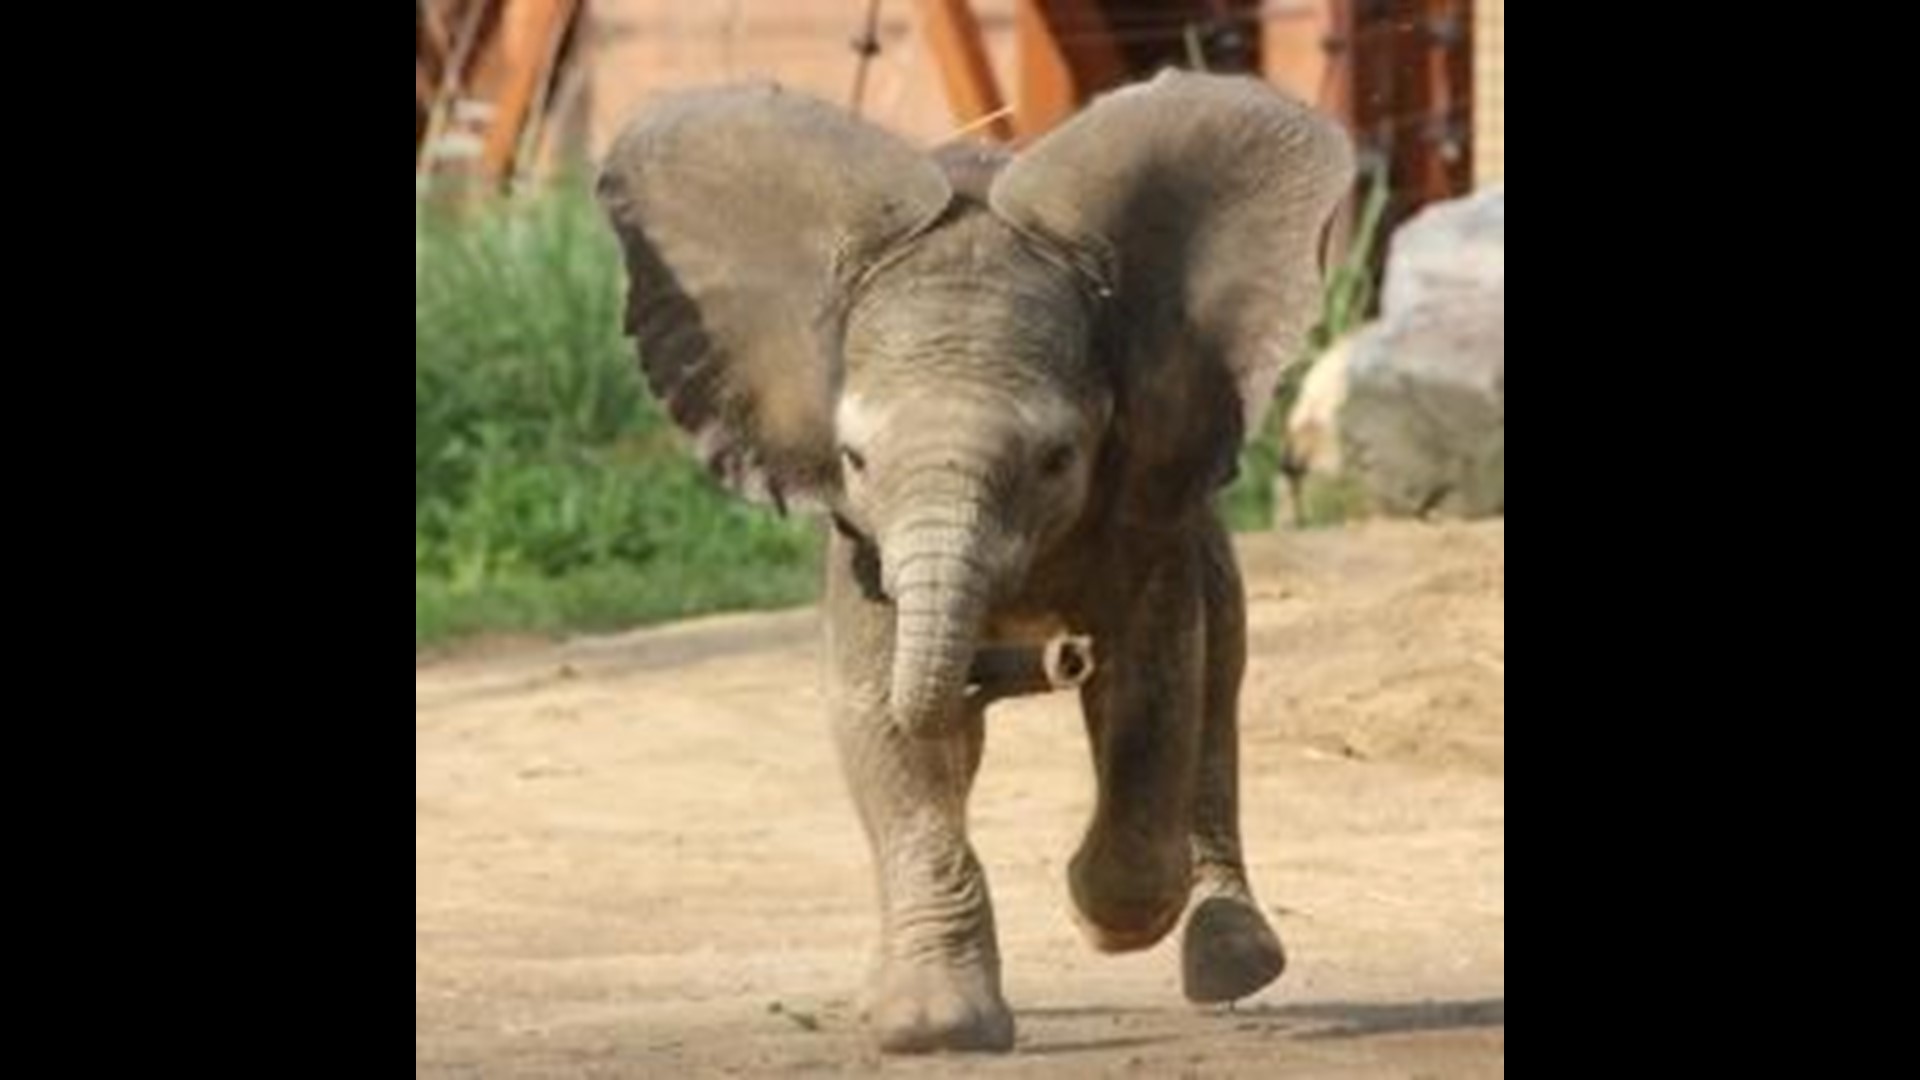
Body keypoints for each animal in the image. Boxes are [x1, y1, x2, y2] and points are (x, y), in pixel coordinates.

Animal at [596, 70, 1354, 1054]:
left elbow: (1154, 688)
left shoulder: (1143, 492)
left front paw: (1102, 916)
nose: (1056, 657)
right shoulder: (864, 545)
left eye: (1057, 460)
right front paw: (933, 1026)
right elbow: (877, 715)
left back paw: (1234, 960)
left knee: (1217, 677)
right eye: (854, 461)